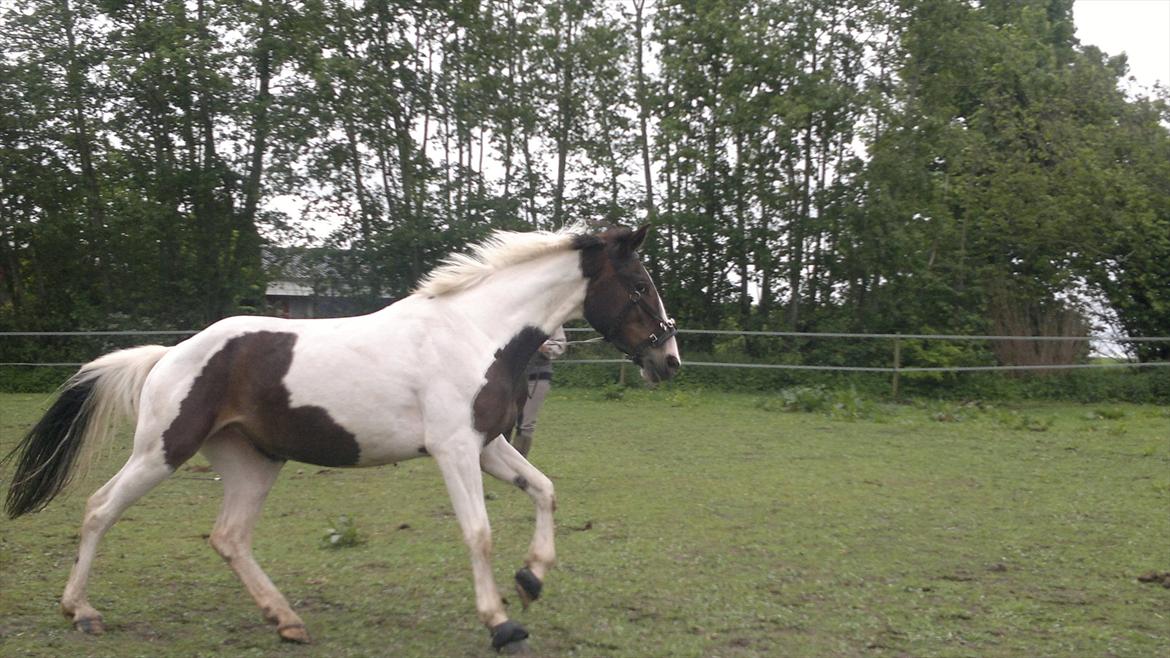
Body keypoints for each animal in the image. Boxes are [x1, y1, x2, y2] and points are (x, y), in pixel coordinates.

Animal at [4, 222, 683, 646]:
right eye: (641, 286)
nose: (669, 360)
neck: (475, 332)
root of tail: (169, 355)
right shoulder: (455, 450)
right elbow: (479, 532)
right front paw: (502, 624)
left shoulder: (488, 445)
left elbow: (544, 489)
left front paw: (532, 578)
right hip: (162, 451)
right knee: (99, 509)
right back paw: (81, 612)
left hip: (254, 462)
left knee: (229, 537)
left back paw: (287, 621)